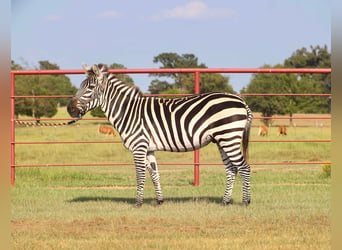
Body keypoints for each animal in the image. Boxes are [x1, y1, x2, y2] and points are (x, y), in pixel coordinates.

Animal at [67, 64, 254, 207]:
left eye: (90, 88)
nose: (70, 109)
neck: (128, 112)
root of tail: (241, 101)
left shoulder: (139, 147)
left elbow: (140, 175)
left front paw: (138, 203)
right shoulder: (148, 149)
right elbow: (154, 174)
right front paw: (159, 201)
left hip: (228, 137)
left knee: (244, 167)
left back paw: (245, 202)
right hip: (222, 140)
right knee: (231, 169)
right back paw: (225, 201)